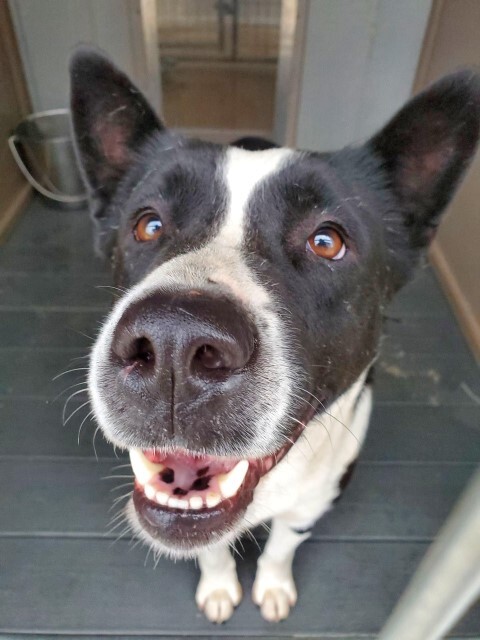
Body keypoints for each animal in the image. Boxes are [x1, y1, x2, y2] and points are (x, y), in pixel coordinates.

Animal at [69, 46, 480, 624]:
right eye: (147, 225)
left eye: (327, 241)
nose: (174, 341)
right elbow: (212, 548)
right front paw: (220, 586)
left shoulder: (314, 501)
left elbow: (284, 544)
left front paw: (273, 586)